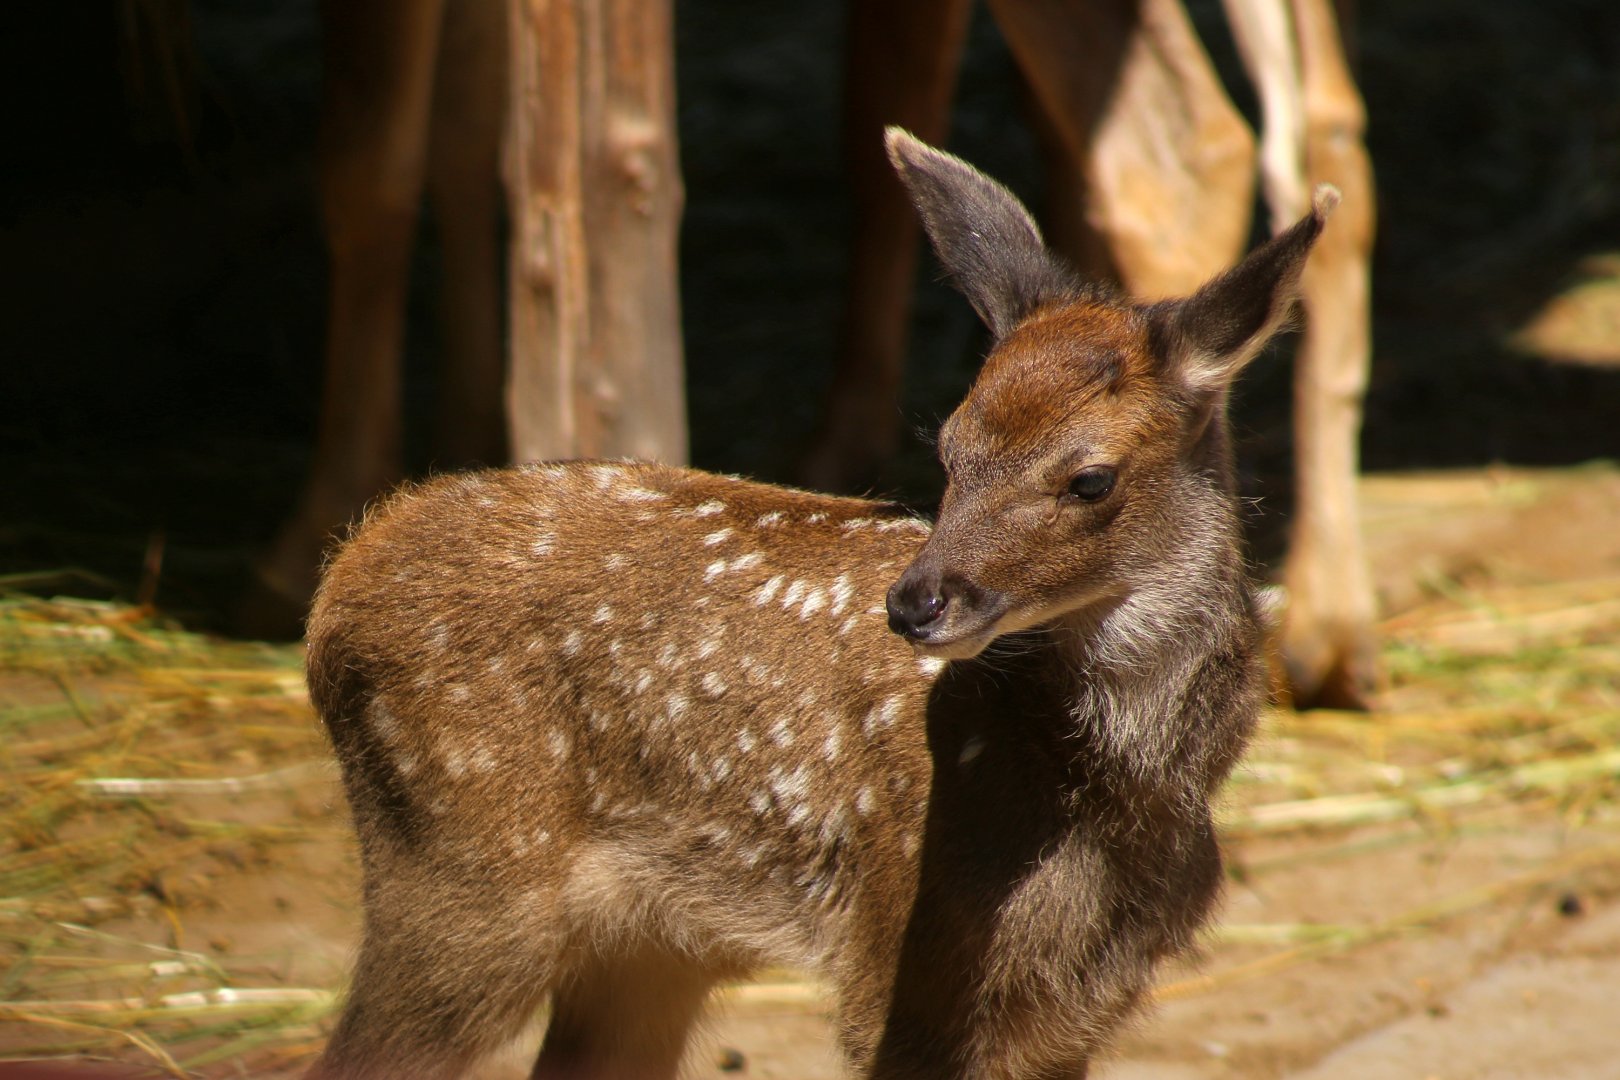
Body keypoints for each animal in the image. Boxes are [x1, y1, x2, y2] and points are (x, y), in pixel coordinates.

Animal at [304, 129, 1335, 1079]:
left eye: (1090, 479)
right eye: (948, 448)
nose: (915, 603)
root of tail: (339, 584)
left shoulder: (1074, 1010)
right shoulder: (896, 950)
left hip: (644, 944)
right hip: (463, 877)